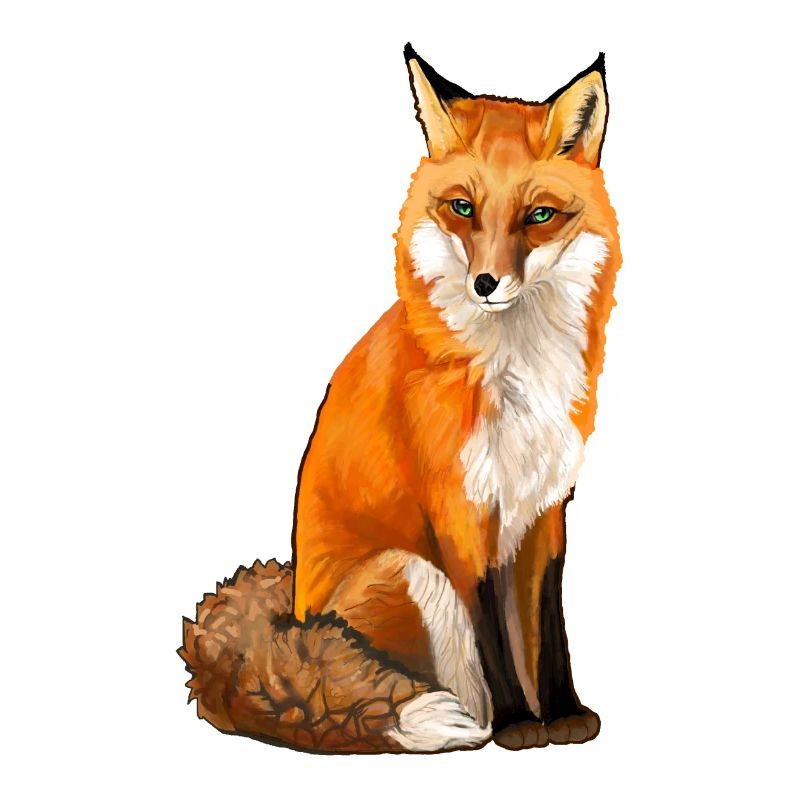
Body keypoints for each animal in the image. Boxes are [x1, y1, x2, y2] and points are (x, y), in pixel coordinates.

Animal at [181, 44, 621, 755]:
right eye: (463, 208)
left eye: (539, 216)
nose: (486, 283)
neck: (516, 371)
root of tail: (290, 617)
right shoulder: (459, 511)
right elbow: (494, 635)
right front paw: (521, 724)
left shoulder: (544, 507)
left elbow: (548, 626)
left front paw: (563, 712)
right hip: (411, 570)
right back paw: (471, 722)